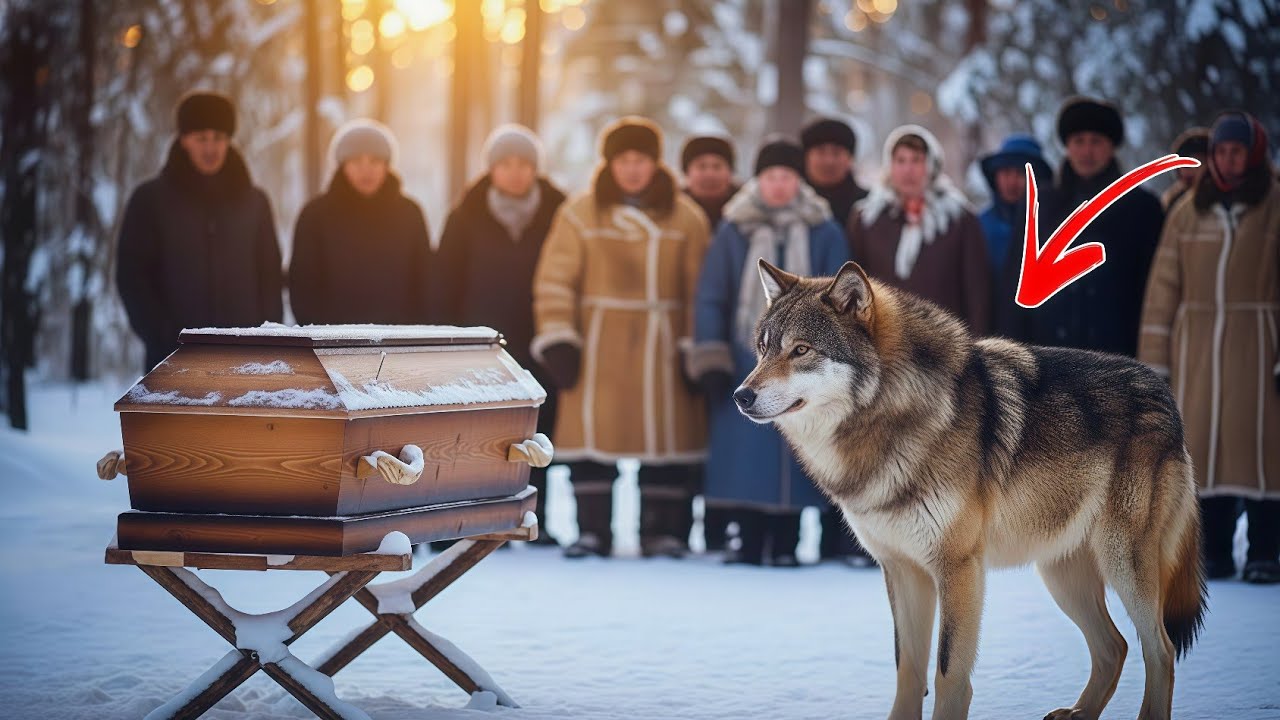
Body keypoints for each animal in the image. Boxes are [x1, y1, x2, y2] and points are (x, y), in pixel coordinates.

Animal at [734, 259, 1205, 720]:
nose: (741, 395)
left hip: (1122, 564)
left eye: (801, 350)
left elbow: (947, 674)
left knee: (1160, 650)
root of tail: (1164, 391)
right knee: (1115, 646)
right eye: (763, 349)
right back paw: (1076, 712)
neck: (889, 418)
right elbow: (908, 671)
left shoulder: (957, 567)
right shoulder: (903, 570)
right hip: (1060, 574)